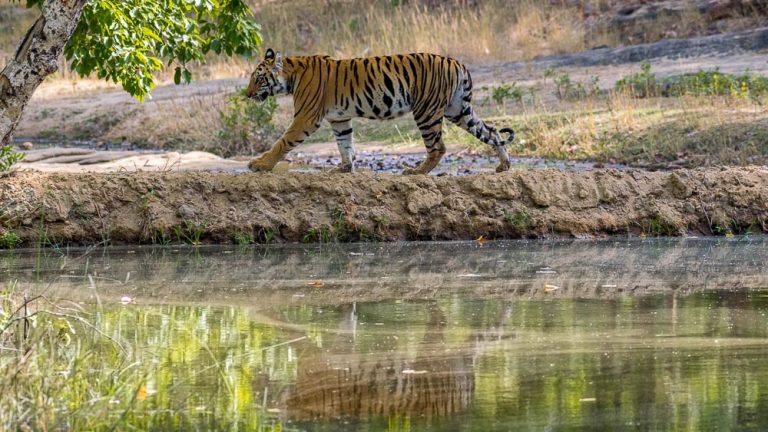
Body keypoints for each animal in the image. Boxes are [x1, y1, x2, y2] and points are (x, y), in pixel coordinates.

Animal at [245, 48, 515, 175]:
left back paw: (416, 172)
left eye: (258, 79)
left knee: (438, 147)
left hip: (426, 111)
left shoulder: (306, 118)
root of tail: (457, 63)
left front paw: (260, 164)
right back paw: (504, 166)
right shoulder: (339, 118)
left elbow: (282, 142)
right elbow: (345, 145)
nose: (247, 95)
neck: (290, 76)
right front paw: (343, 169)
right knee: (492, 132)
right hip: (458, 110)